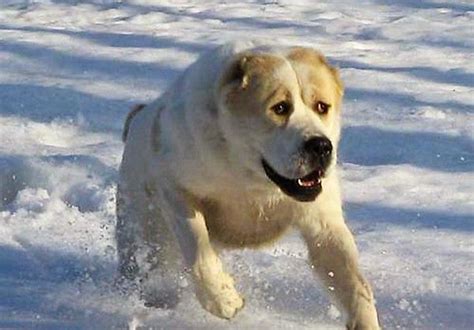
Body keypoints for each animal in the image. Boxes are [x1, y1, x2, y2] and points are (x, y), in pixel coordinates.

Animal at [115, 40, 382, 328]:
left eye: (322, 106)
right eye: (280, 108)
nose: (320, 146)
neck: (250, 178)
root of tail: (141, 115)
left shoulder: (324, 223)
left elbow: (354, 283)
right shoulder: (174, 187)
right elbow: (198, 251)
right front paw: (223, 299)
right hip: (143, 232)